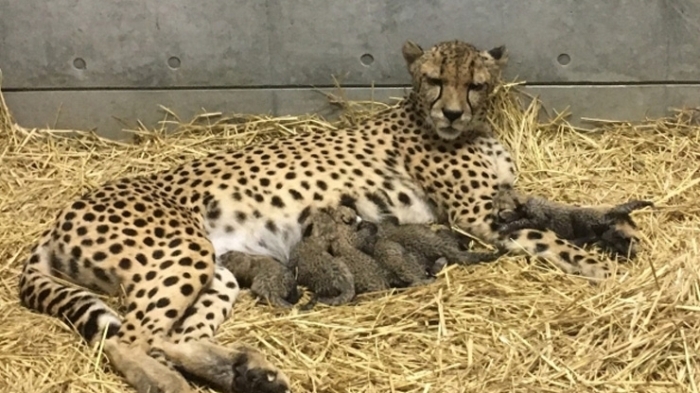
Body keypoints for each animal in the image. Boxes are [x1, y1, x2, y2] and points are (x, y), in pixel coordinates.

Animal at [17, 38, 628, 390]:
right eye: (435, 80)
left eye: (475, 84)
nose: (453, 112)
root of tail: (56, 221)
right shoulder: (475, 216)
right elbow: (548, 237)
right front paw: (604, 269)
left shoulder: (501, 201)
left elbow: (560, 210)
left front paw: (617, 231)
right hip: (181, 253)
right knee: (126, 338)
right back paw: (172, 384)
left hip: (215, 271)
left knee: (169, 336)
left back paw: (246, 374)